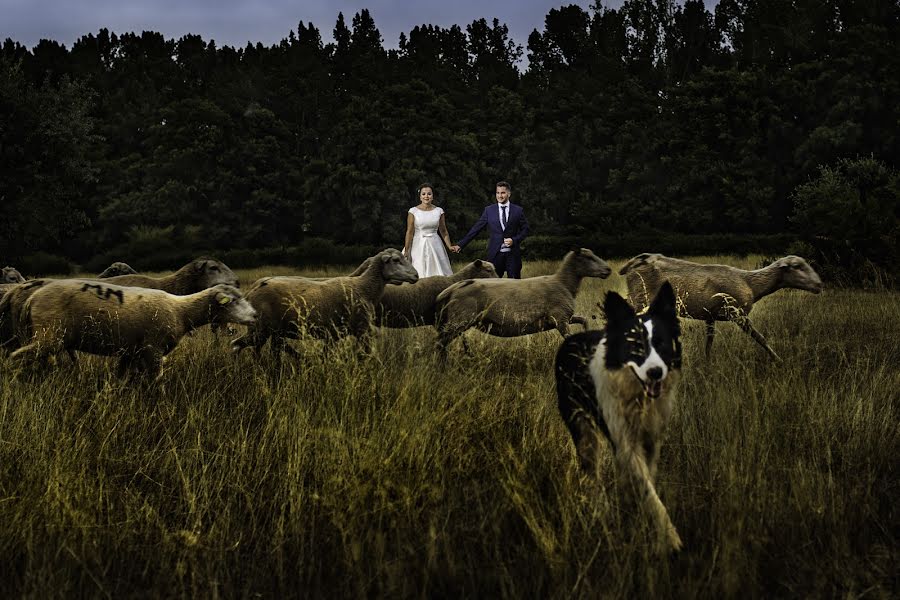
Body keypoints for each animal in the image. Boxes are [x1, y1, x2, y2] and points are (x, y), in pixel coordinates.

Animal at [9, 278, 256, 378]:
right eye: (233, 301)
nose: (255, 316)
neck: (181, 311)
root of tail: (33, 298)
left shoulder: (131, 352)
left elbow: (123, 377)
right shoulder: (152, 349)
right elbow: (156, 379)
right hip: (49, 335)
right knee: (15, 356)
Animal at [230, 248, 416, 360]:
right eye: (396, 260)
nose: (416, 275)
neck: (364, 287)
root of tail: (252, 290)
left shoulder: (334, 334)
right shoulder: (361, 330)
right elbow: (365, 354)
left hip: (270, 331)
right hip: (261, 329)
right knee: (237, 346)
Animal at [434, 248, 612, 356]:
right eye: (588, 258)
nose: (608, 269)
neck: (564, 283)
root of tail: (455, 287)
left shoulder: (563, 318)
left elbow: (584, 320)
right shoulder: (560, 319)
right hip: (459, 321)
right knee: (439, 344)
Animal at [552, 282, 684, 552]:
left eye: (663, 344)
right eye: (635, 347)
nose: (656, 373)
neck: (638, 395)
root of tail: (569, 340)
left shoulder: (651, 439)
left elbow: (647, 479)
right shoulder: (625, 440)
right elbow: (647, 489)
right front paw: (670, 537)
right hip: (584, 430)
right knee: (591, 470)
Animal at [620, 253, 824, 360]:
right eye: (797, 266)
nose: (819, 284)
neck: (752, 283)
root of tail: (635, 261)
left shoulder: (710, 316)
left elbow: (709, 342)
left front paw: (706, 363)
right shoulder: (737, 314)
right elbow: (760, 338)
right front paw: (778, 359)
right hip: (640, 299)